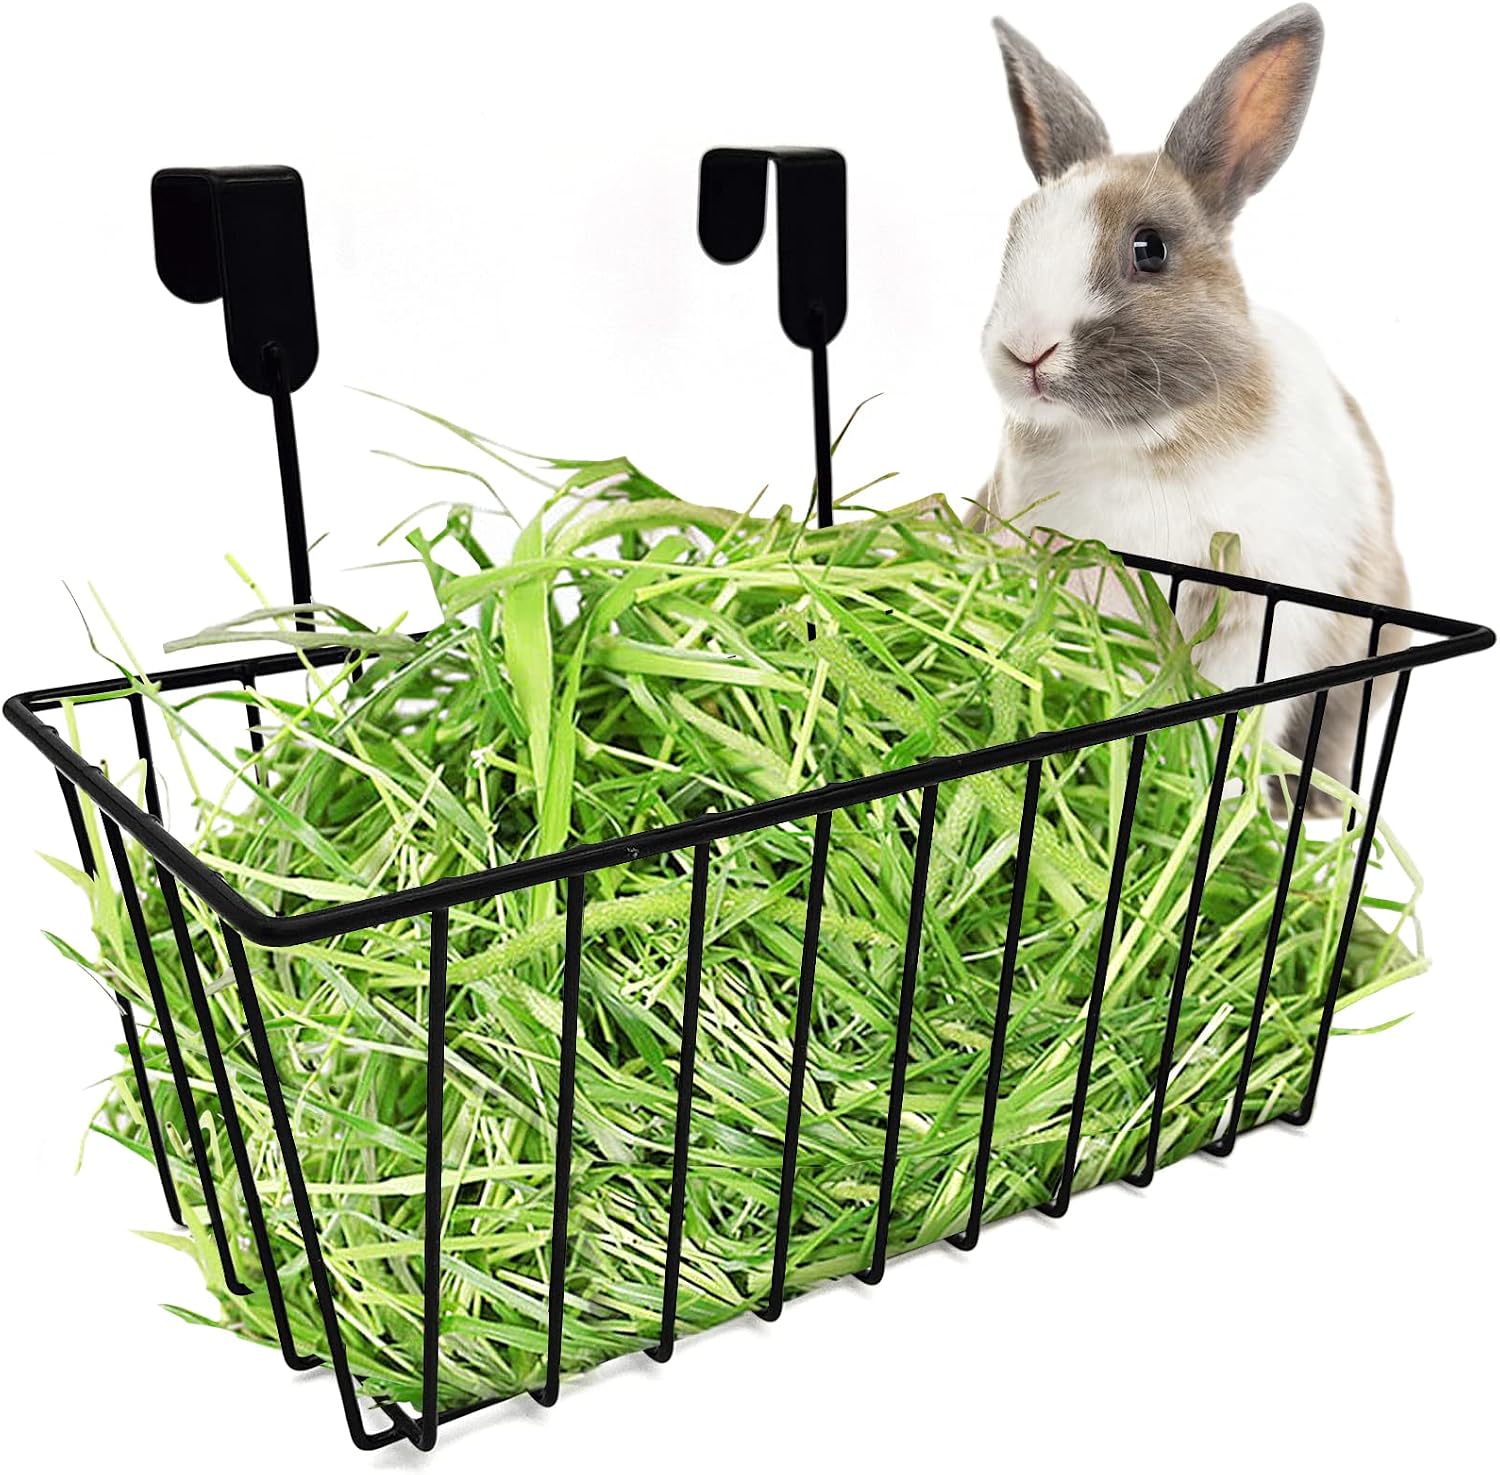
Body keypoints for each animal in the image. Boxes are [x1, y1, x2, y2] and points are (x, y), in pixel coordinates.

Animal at [965, 4, 1410, 817]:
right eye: (1014, 235)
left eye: (1150, 249)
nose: (1025, 350)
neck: (1129, 443)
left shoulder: (1268, 615)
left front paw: (1213, 789)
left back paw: (1314, 809)